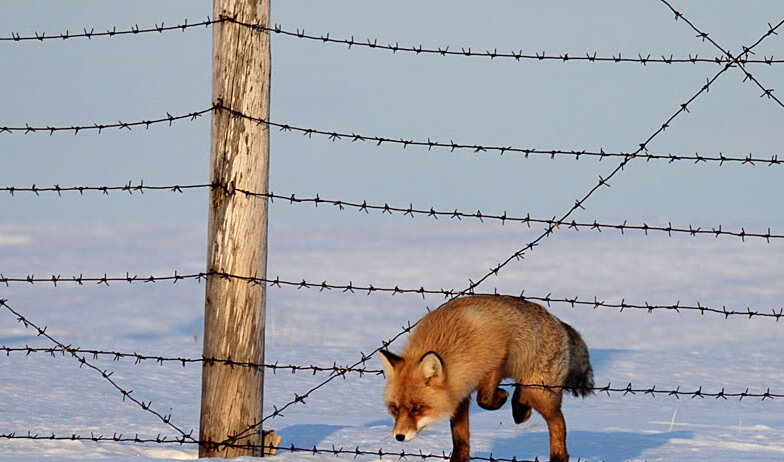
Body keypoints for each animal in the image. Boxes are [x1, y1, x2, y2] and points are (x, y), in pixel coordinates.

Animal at [380, 294, 596, 462]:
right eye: (394, 409)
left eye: (417, 408)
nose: (399, 436)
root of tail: (558, 322)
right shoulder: (459, 392)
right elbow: (460, 440)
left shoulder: (498, 355)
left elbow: (484, 398)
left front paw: (500, 396)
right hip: (533, 384)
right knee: (524, 394)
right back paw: (520, 407)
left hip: (541, 392)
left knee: (558, 423)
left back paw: (557, 454)